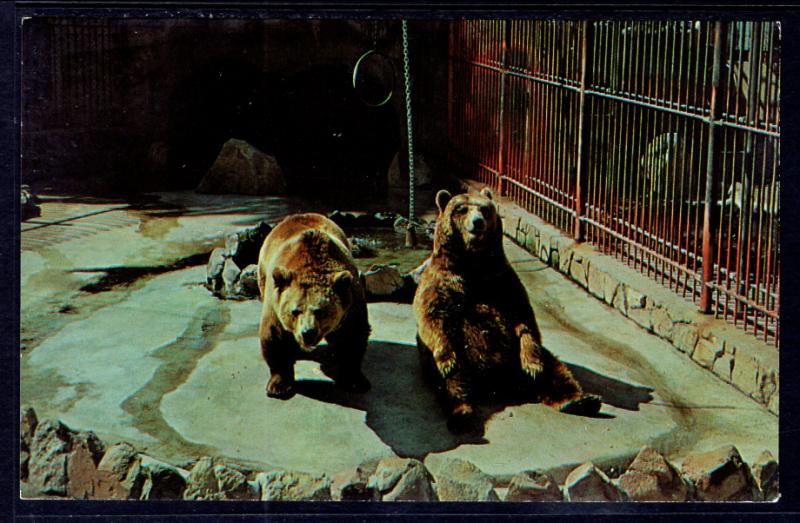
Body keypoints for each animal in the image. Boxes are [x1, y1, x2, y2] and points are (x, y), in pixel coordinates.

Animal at [258, 211, 370, 400]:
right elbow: (274, 336)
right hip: (264, 273)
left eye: (320, 311)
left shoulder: (350, 303)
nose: (307, 332)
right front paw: (278, 386)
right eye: (295, 311)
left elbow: (352, 336)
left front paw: (355, 381)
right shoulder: (275, 302)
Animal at [412, 188, 600, 434]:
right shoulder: (443, 280)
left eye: (484, 208)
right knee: (452, 383)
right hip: (457, 361)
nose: (477, 222)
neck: (473, 264)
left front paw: (532, 366)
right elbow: (432, 317)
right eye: (462, 209)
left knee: (556, 369)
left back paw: (580, 400)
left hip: (521, 357)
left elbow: (523, 317)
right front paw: (447, 361)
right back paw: (462, 414)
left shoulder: (502, 280)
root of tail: (500, 384)